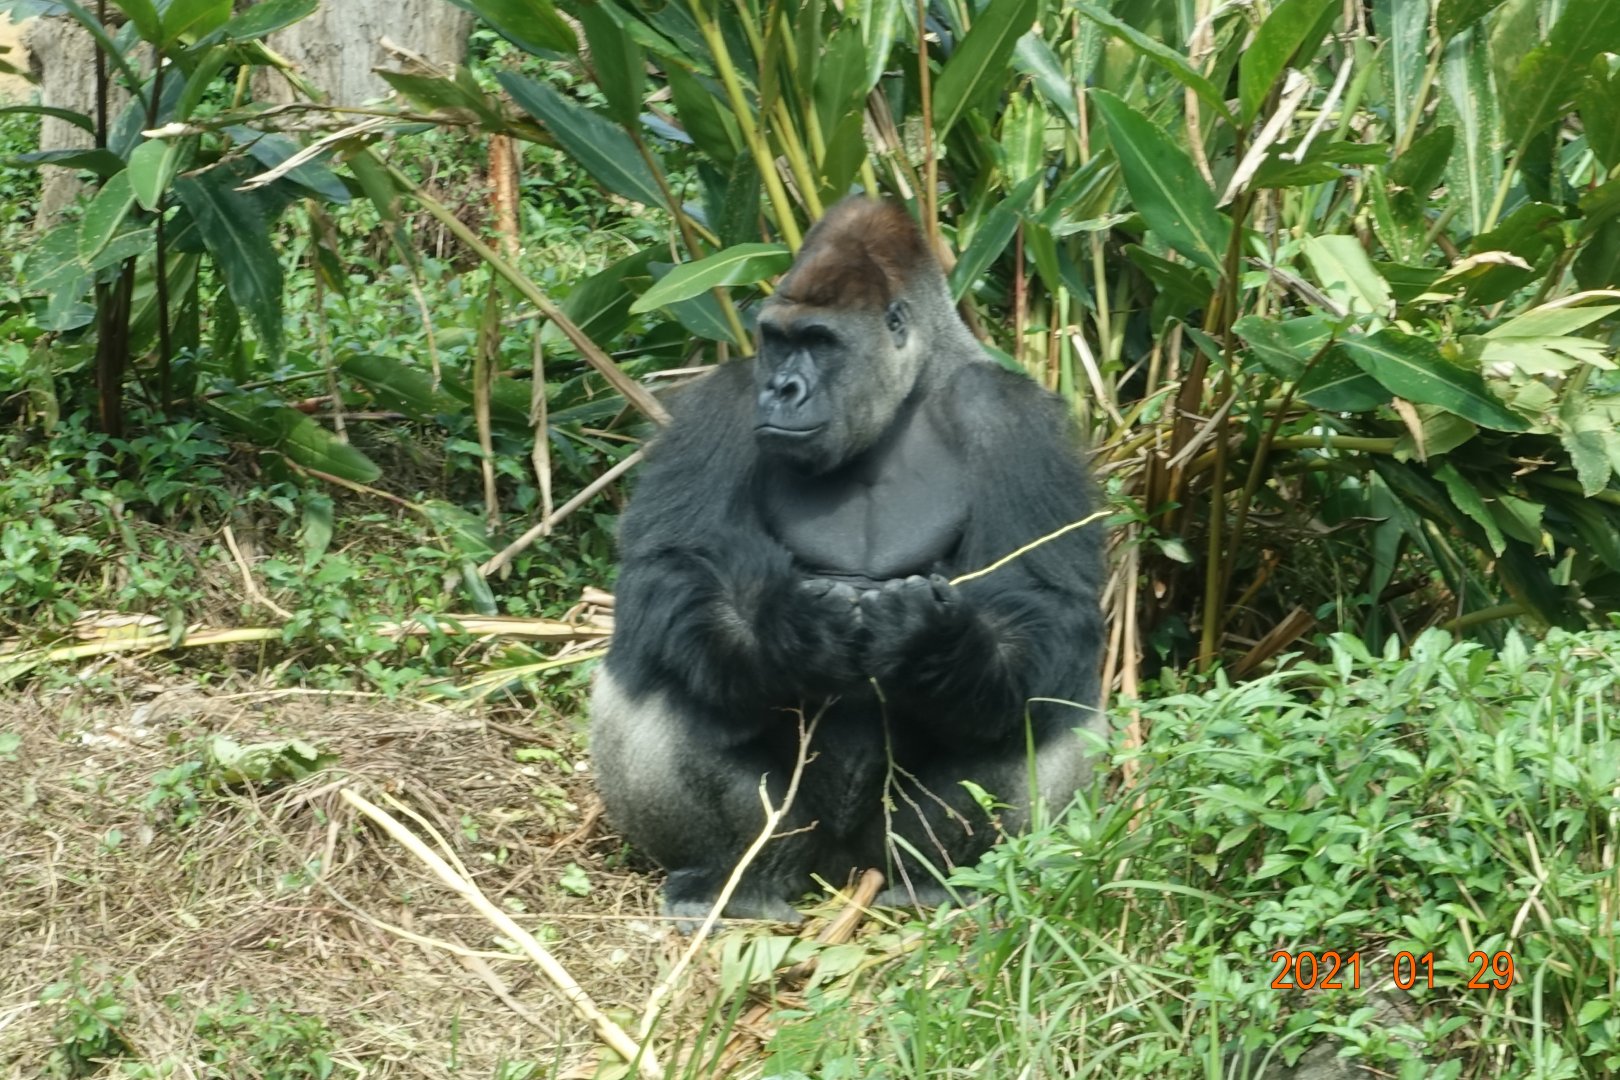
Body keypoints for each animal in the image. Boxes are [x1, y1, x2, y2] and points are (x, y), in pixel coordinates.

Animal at [590, 197, 1105, 922]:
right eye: (777, 340)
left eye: (820, 341)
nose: (781, 388)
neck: (911, 389)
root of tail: (838, 870)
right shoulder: (726, 398)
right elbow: (672, 565)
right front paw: (791, 632)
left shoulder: (1014, 418)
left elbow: (1046, 601)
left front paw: (937, 645)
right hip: (799, 840)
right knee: (662, 662)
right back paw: (735, 881)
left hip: (882, 848)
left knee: (1049, 699)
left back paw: (940, 881)